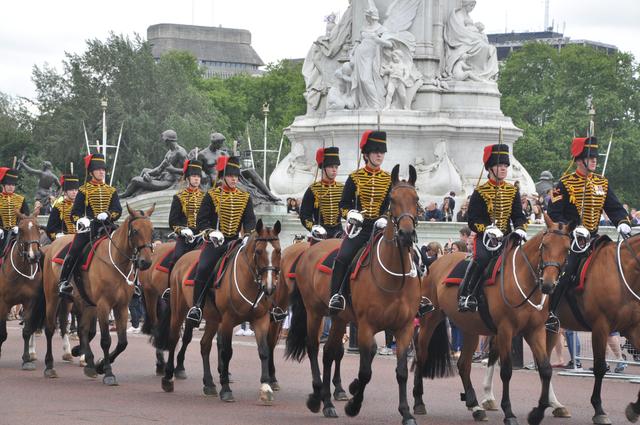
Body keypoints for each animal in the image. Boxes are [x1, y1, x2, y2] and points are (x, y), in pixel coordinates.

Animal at [0, 209, 44, 368]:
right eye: (22, 230)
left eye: (38, 227)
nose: (34, 255)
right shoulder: (3, 303)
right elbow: (2, 333)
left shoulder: (30, 302)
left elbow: (26, 331)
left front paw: (26, 359)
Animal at [42, 204, 155, 382]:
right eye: (136, 230)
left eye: (152, 230)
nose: (146, 262)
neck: (116, 262)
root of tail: (54, 244)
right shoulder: (104, 305)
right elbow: (106, 340)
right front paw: (108, 372)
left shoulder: (121, 307)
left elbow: (122, 342)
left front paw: (99, 365)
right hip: (53, 297)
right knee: (50, 328)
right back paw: (49, 366)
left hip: (85, 302)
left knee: (82, 330)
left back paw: (85, 360)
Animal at [154, 219, 282, 404]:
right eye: (258, 252)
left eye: (278, 251)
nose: (269, 287)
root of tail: (182, 259)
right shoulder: (228, 320)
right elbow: (226, 351)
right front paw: (226, 388)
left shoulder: (261, 320)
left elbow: (264, 350)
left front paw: (266, 387)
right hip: (179, 311)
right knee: (173, 339)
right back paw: (168, 378)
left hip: (213, 319)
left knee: (205, 345)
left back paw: (209, 384)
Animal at [412, 215, 572, 424]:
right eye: (544, 245)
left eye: (567, 248)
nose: (548, 285)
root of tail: (437, 262)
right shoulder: (505, 330)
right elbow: (506, 371)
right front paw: (509, 412)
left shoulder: (535, 331)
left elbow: (545, 369)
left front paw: (537, 413)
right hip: (430, 319)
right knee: (421, 354)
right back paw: (418, 401)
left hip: (470, 327)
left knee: (463, 364)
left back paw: (475, 406)